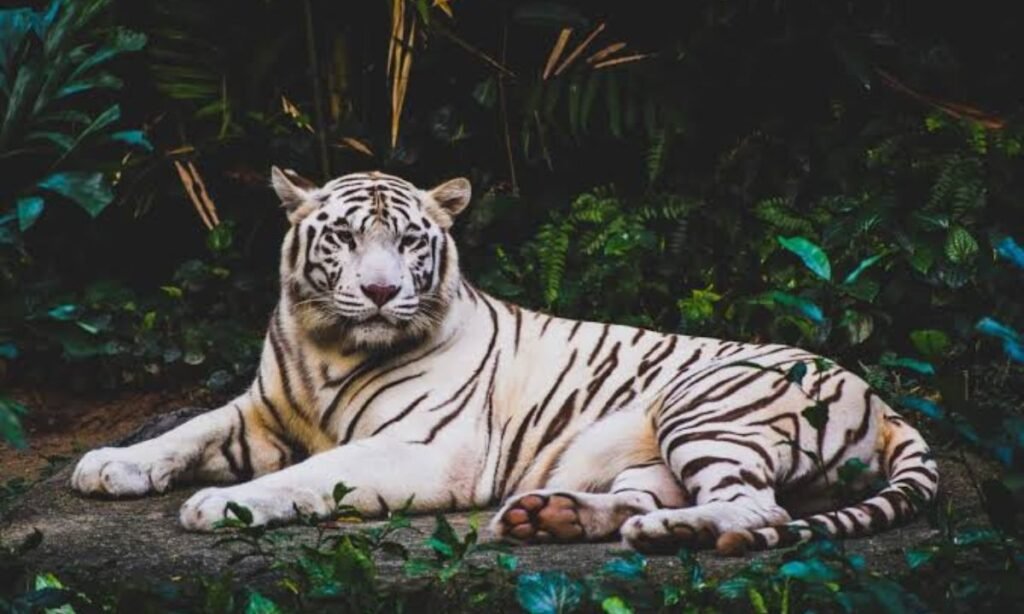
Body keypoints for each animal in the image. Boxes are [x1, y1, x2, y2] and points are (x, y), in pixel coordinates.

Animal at [70, 168, 938, 555]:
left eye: (409, 241)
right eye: (345, 237)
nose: (381, 292)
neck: (330, 345)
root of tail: (884, 402)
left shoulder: (424, 449)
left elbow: (311, 474)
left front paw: (222, 505)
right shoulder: (261, 410)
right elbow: (186, 429)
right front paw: (109, 464)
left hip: (704, 405)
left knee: (760, 509)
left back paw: (667, 533)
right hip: (653, 451)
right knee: (654, 495)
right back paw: (550, 516)